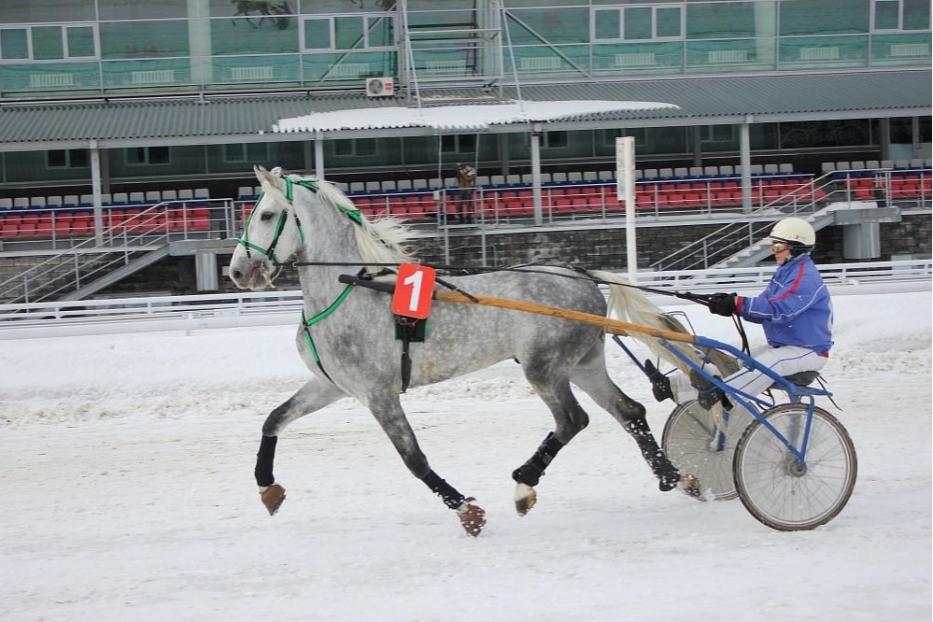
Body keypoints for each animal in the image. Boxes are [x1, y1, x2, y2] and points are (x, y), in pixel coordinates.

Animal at [229, 168, 696, 540]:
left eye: (266, 215)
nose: (237, 271)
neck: (351, 290)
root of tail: (579, 275)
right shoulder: (333, 385)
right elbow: (274, 420)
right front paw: (267, 487)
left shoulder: (379, 394)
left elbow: (414, 459)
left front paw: (468, 511)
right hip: (582, 364)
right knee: (629, 411)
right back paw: (675, 476)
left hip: (544, 368)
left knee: (571, 420)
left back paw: (525, 484)